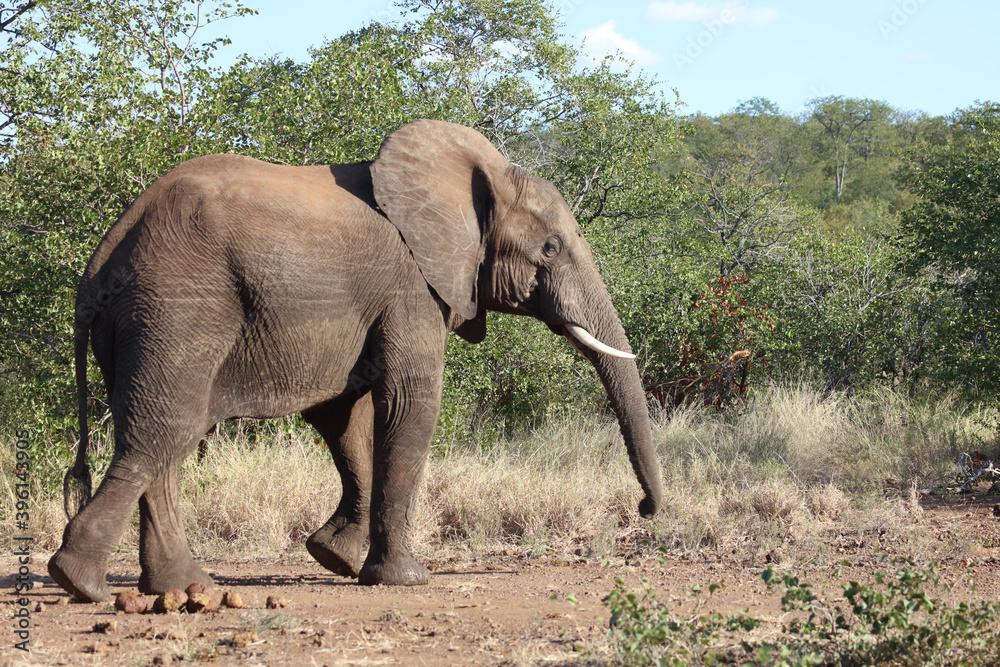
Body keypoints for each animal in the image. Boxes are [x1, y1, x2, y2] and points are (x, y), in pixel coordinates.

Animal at [52, 117, 664, 604]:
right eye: (550, 250)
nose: (643, 510)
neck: (475, 175)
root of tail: (101, 259)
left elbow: (342, 416)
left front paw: (334, 559)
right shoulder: (414, 288)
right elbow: (411, 404)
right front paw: (405, 579)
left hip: (143, 320)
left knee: (167, 440)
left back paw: (177, 586)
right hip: (177, 308)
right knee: (164, 432)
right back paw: (79, 582)